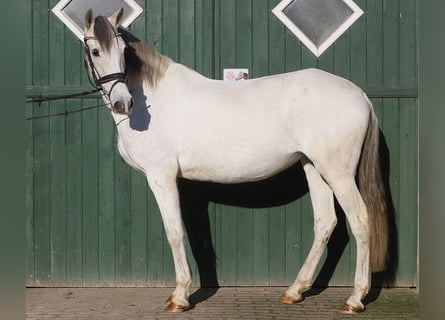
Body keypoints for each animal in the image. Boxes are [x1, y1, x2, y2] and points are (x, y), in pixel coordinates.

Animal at [84, 8, 388, 316]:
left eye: (123, 50)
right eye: (95, 51)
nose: (123, 103)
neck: (154, 102)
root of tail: (359, 94)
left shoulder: (162, 177)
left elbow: (174, 232)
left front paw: (180, 297)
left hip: (339, 174)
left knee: (360, 220)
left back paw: (355, 298)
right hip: (314, 168)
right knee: (326, 222)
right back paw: (294, 291)